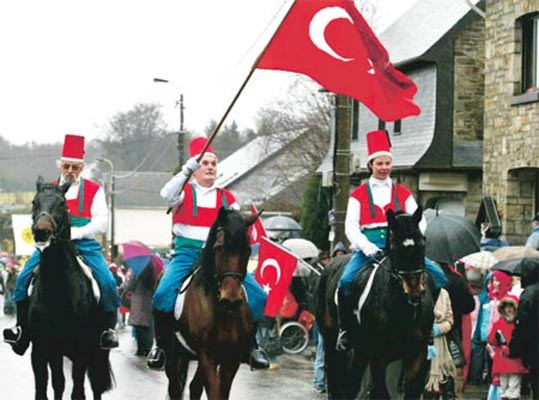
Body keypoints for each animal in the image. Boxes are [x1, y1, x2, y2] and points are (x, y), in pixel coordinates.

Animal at [28, 178, 114, 400]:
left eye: (61, 203)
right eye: (34, 201)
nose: (41, 231)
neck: (58, 290)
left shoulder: (81, 349)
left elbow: (77, 391)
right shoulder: (43, 349)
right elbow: (50, 386)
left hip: (97, 352)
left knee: (96, 385)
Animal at [167, 208, 260, 400]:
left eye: (248, 250)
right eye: (219, 247)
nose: (231, 300)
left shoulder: (230, 360)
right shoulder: (207, 356)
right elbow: (214, 393)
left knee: (194, 387)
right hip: (176, 355)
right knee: (175, 387)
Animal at [316, 208, 438, 398]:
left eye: (422, 243)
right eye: (394, 246)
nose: (415, 293)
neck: (403, 312)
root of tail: (330, 264)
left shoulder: (417, 356)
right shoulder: (378, 357)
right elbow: (381, 392)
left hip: (360, 350)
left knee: (352, 384)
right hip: (332, 342)